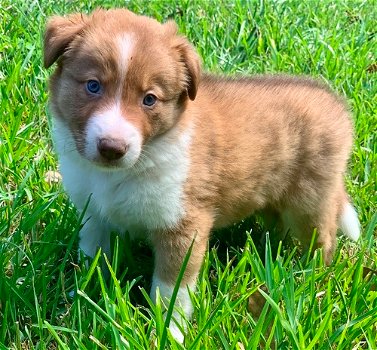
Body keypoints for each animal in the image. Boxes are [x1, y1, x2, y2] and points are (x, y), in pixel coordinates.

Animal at [43, 7, 358, 342]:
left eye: (149, 99)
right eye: (93, 85)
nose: (112, 148)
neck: (126, 170)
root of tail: (335, 103)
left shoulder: (183, 225)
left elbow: (171, 291)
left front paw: (169, 332)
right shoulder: (94, 214)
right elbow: (93, 256)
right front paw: (81, 298)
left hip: (309, 202)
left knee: (323, 240)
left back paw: (310, 280)